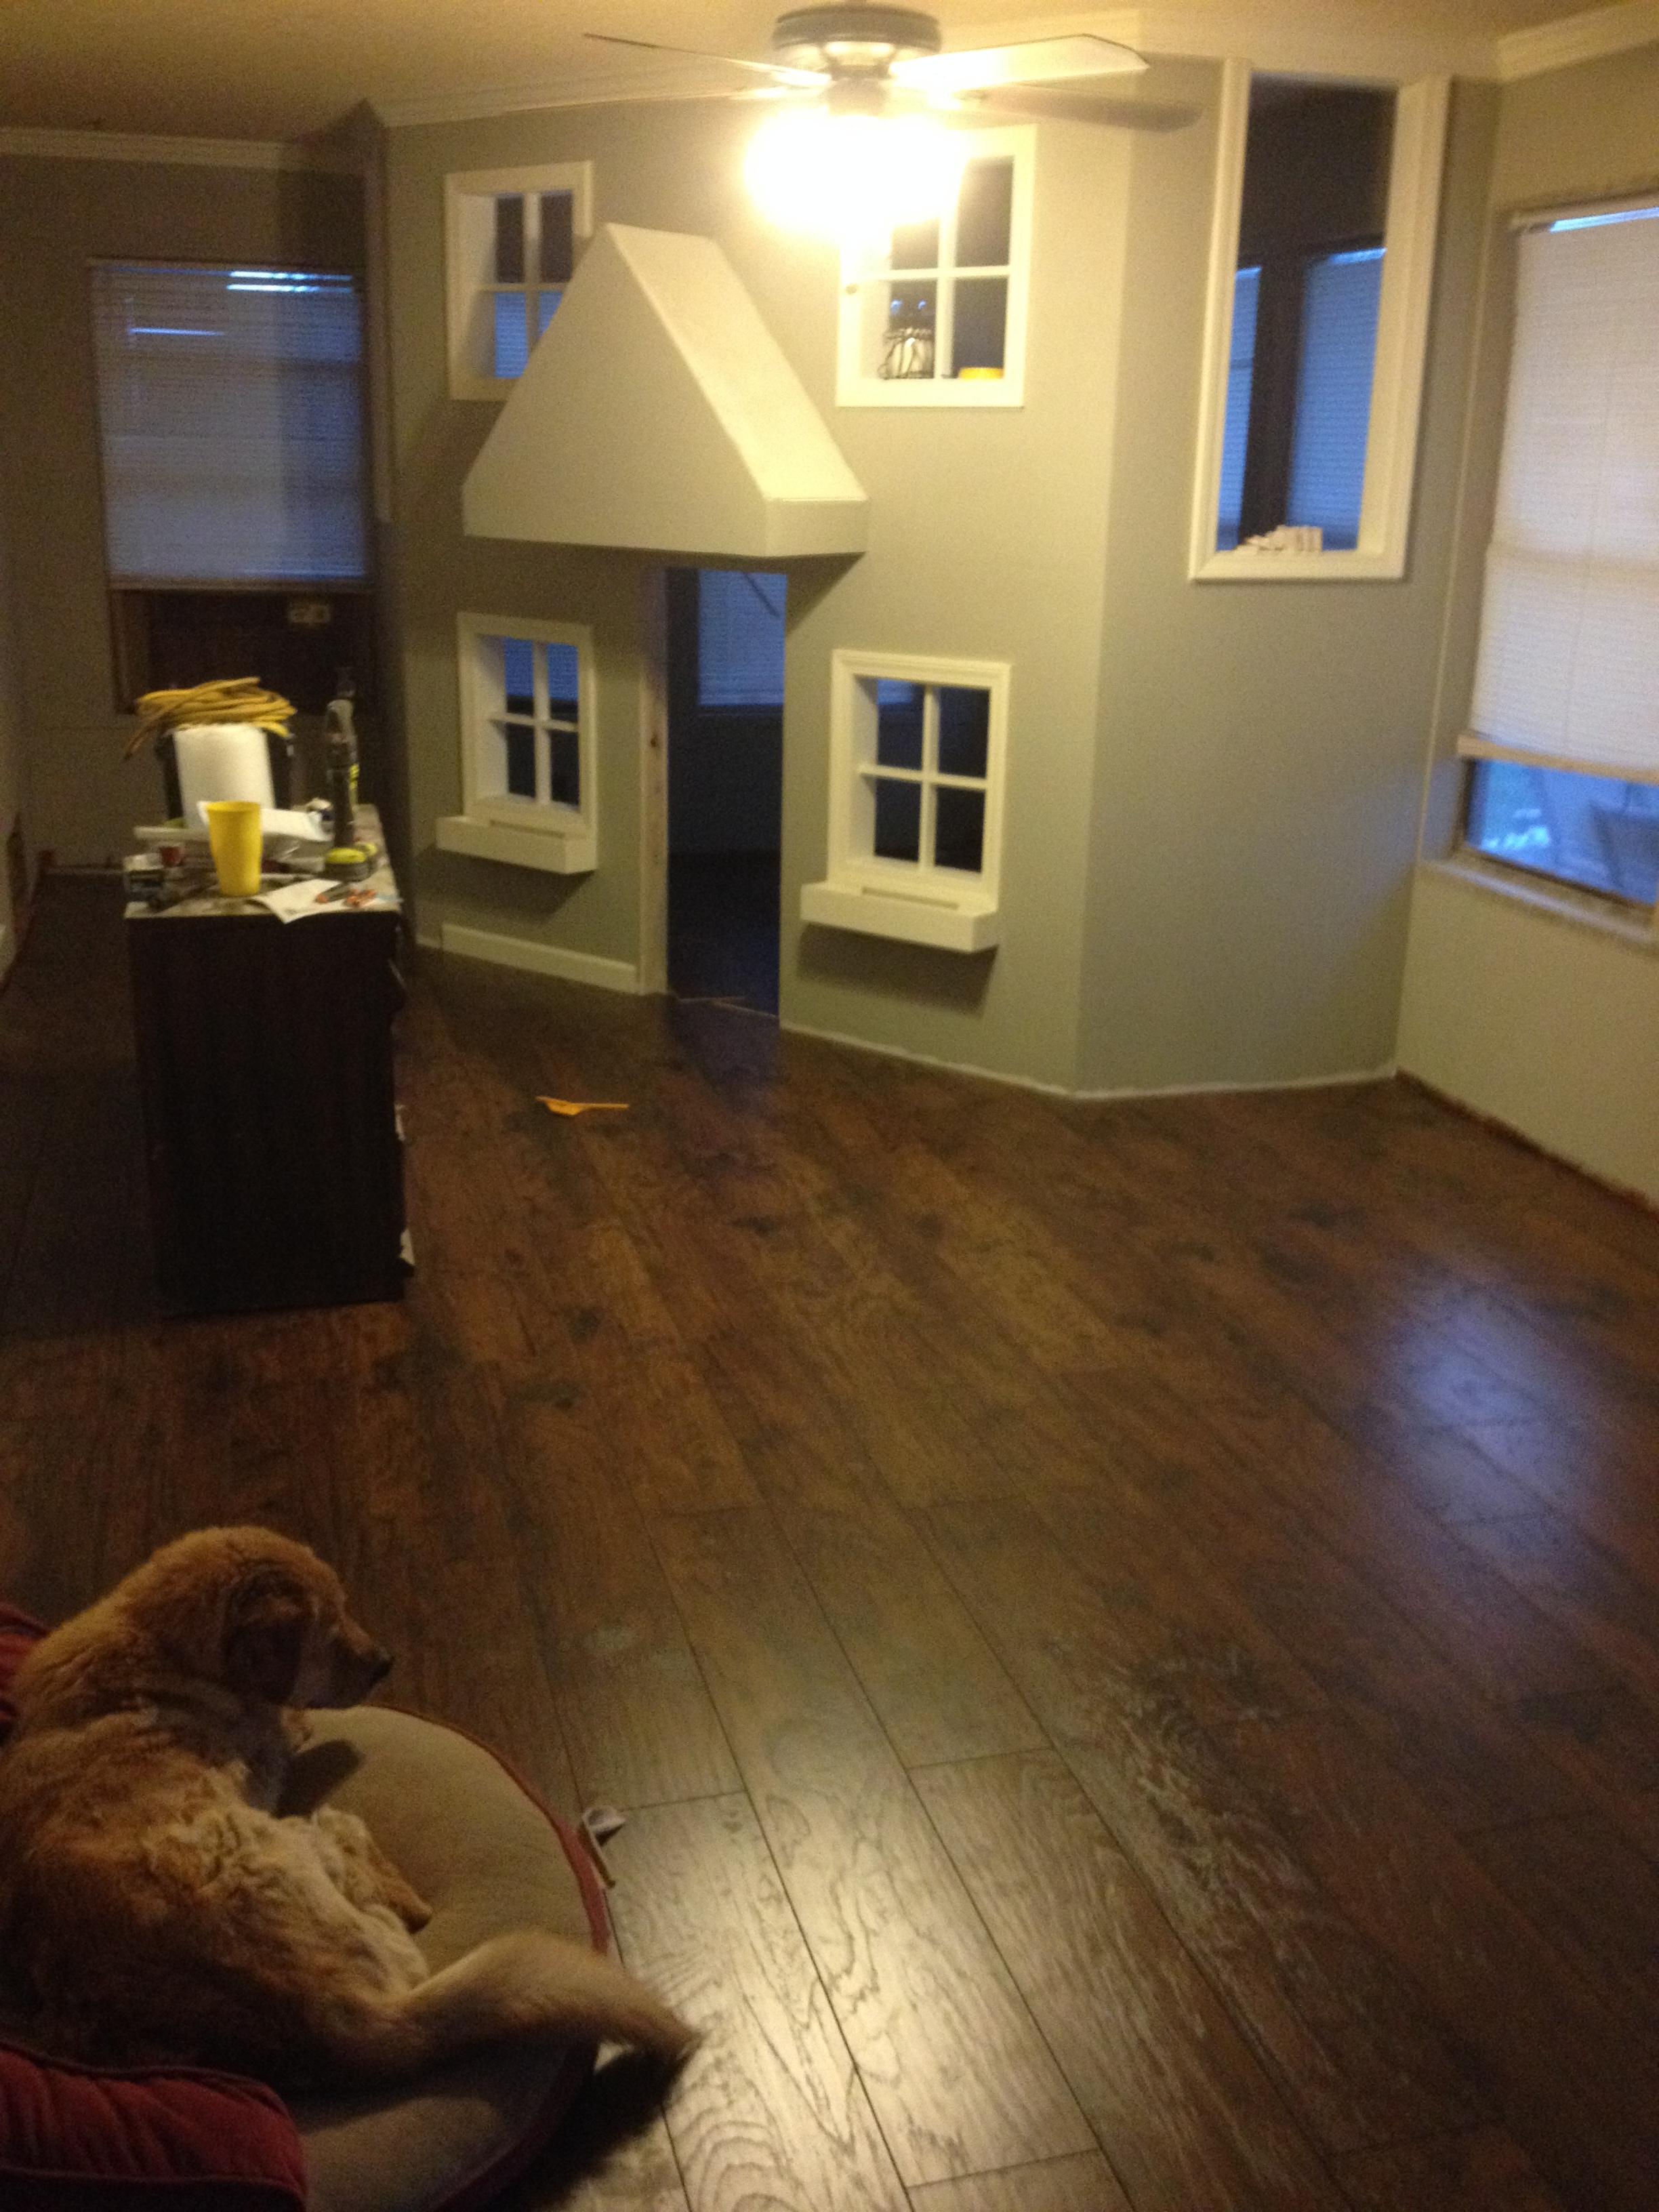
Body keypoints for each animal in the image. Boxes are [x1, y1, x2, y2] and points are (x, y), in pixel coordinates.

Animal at [0, 1530, 694, 2079]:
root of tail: (351, 2021)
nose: (387, 1661)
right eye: (329, 1629)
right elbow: (286, 1726)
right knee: (383, 1895)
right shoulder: (265, 1757)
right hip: (286, 1838)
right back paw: (396, 1891)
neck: (157, 1645)